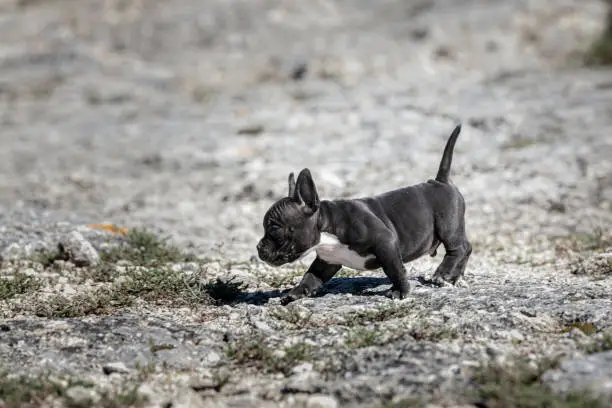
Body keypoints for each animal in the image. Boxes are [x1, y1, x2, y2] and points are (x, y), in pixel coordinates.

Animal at [256, 126, 470, 304]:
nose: (258, 247)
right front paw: (296, 292)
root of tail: (440, 181)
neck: (328, 227)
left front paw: (400, 291)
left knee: (457, 249)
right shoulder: (326, 262)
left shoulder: (386, 242)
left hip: (448, 226)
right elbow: (310, 277)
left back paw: (443, 273)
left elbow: (395, 269)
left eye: (274, 228)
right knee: (467, 248)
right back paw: (454, 276)